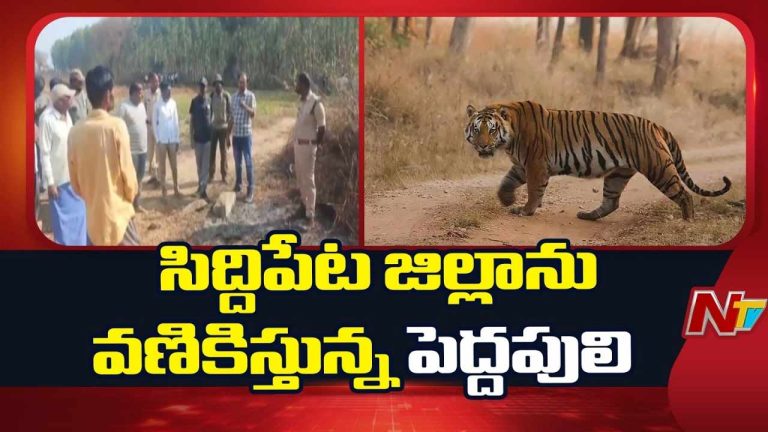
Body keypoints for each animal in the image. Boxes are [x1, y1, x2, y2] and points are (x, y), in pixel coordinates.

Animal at [464, 101, 731, 220]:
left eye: (491, 130)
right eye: (477, 129)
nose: (483, 145)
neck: (510, 137)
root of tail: (655, 124)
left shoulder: (535, 165)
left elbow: (533, 191)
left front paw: (525, 210)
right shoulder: (522, 165)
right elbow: (506, 182)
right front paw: (506, 200)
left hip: (659, 169)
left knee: (684, 194)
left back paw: (687, 221)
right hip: (618, 174)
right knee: (611, 202)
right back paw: (588, 215)